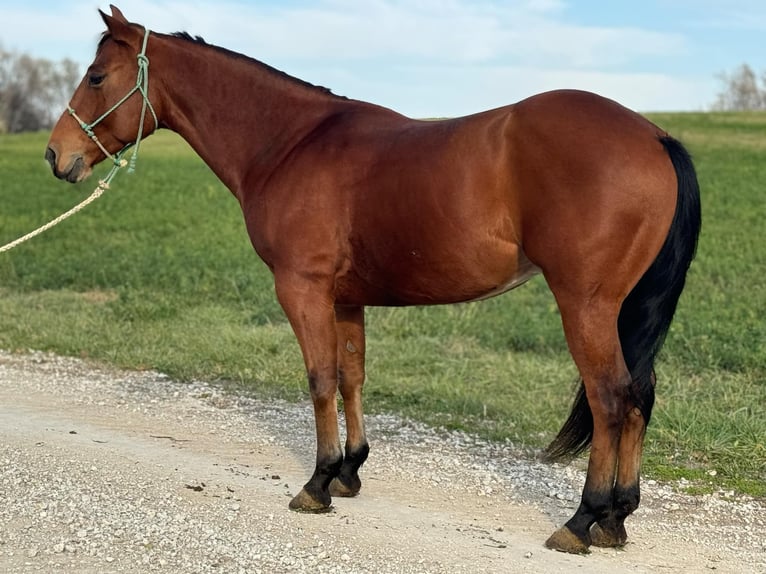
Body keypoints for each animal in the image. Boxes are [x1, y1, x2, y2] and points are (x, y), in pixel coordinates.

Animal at [43, 3, 704, 552]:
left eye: (96, 76)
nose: (56, 155)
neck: (290, 143)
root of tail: (654, 136)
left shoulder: (302, 289)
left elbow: (319, 380)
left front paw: (316, 482)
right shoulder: (345, 299)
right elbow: (352, 377)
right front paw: (349, 472)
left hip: (586, 305)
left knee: (612, 399)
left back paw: (582, 519)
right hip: (620, 310)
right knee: (640, 397)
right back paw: (617, 519)